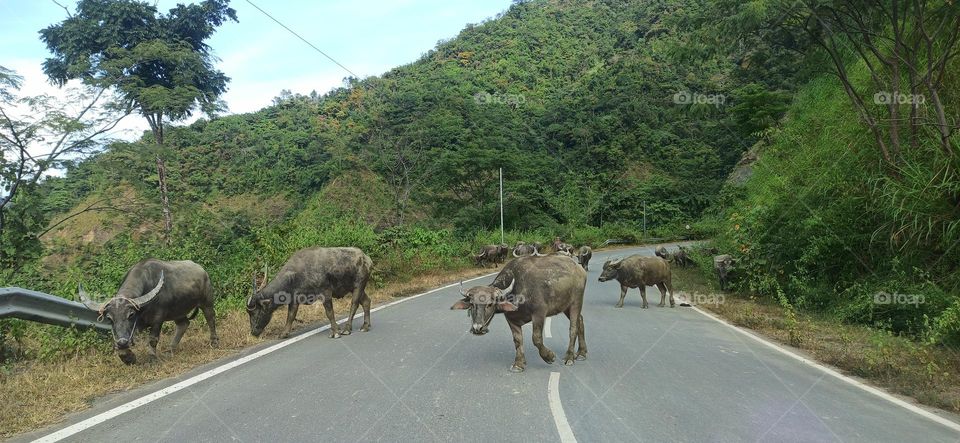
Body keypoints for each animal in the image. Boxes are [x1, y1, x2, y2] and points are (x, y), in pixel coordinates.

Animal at [78, 259, 219, 365]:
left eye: (131, 314)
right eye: (109, 318)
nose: (122, 342)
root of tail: (202, 270)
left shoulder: (157, 319)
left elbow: (152, 339)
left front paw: (152, 358)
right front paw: (128, 358)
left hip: (206, 301)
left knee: (210, 318)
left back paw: (214, 342)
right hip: (177, 312)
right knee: (183, 324)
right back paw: (170, 350)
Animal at [451, 255, 587, 372]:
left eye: (489, 304)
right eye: (472, 304)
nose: (477, 328)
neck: (517, 290)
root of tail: (580, 269)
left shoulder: (539, 313)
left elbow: (536, 338)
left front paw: (549, 356)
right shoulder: (511, 319)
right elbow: (517, 340)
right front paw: (518, 364)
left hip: (576, 302)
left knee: (573, 328)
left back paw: (569, 357)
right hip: (566, 307)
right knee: (580, 321)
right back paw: (581, 353)